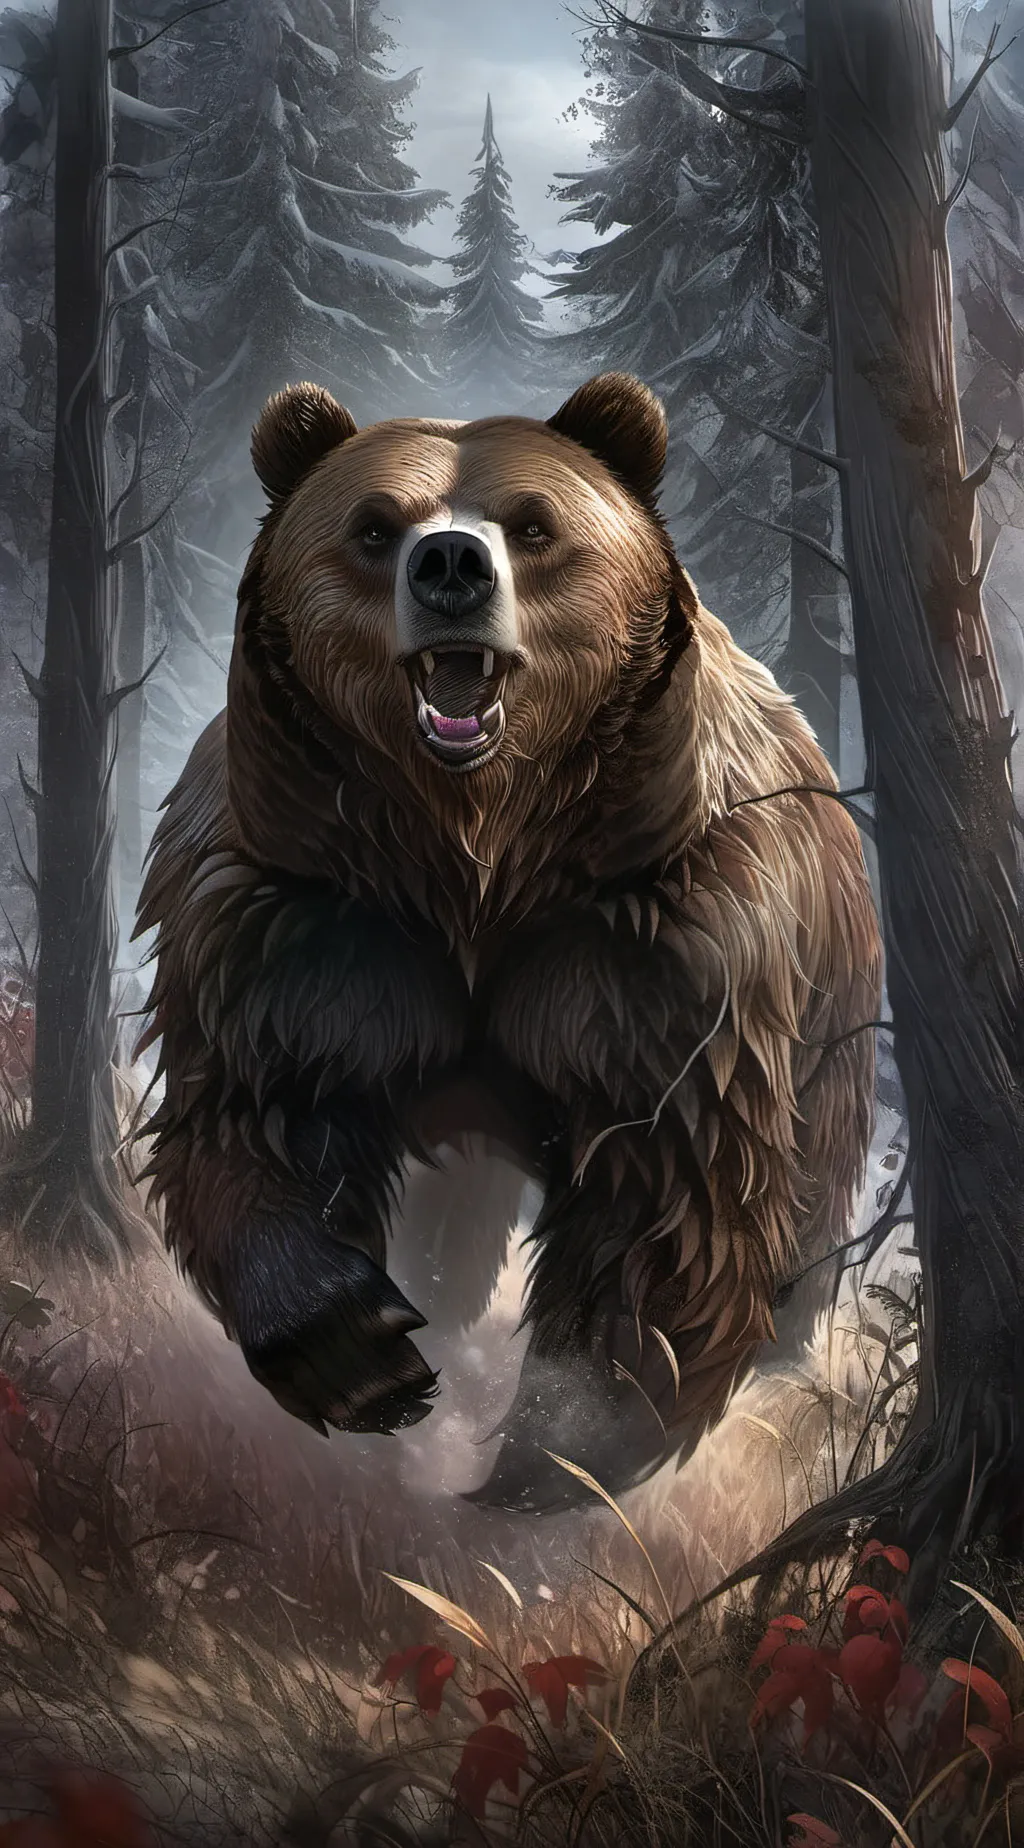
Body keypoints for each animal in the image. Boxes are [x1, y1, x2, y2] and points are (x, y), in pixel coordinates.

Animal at [134, 372, 882, 1514]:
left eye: (533, 524)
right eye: (372, 526)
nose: (450, 565)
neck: (476, 855)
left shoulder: (655, 935)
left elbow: (667, 1195)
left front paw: (551, 1450)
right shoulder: (307, 908)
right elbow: (261, 1110)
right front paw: (365, 1359)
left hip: (829, 998)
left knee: (806, 1193)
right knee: (454, 1216)